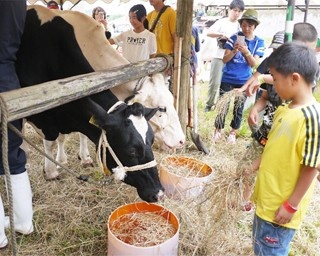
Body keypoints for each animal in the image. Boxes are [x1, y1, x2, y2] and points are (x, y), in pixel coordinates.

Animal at [14, 5, 166, 202]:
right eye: (132, 151)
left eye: (152, 141)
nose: (159, 193)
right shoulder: (45, 116)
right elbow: (50, 142)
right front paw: (51, 171)